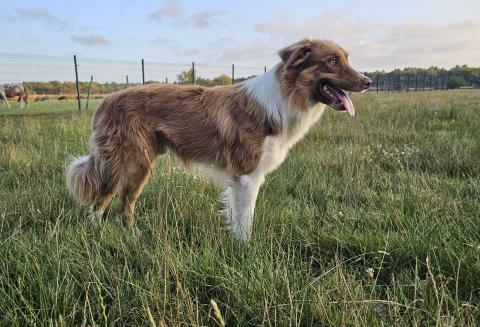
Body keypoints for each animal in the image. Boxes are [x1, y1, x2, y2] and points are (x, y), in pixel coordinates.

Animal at [65, 39, 372, 242]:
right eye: (332, 61)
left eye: (346, 59)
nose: (368, 81)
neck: (286, 96)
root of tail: (106, 100)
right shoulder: (247, 175)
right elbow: (246, 219)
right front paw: (246, 251)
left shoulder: (240, 179)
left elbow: (237, 216)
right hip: (133, 163)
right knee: (111, 201)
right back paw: (119, 235)